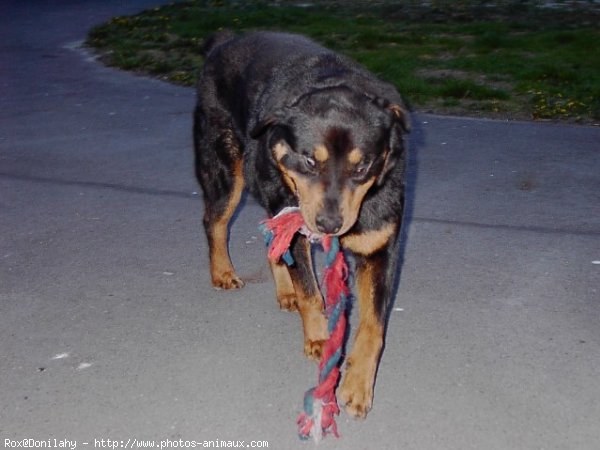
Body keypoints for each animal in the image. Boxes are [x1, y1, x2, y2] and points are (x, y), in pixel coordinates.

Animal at [195, 31, 410, 418]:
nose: (329, 224)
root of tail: (225, 39)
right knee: (215, 221)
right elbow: (311, 292)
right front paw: (320, 338)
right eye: (309, 160)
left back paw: (284, 291)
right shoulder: (295, 220)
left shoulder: (380, 247)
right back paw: (223, 272)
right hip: (226, 171)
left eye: (362, 166)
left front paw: (358, 385)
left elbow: (374, 326)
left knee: (271, 240)